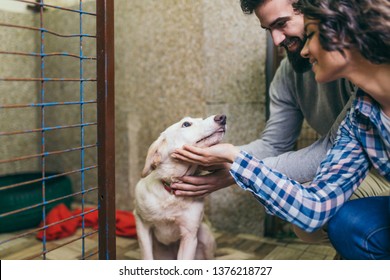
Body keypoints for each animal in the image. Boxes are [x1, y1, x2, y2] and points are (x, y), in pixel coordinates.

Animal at [134, 115, 227, 260]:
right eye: (186, 124)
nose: (222, 117)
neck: (171, 194)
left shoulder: (189, 236)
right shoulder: (141, 223)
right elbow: (147, 256)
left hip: (205, 236)